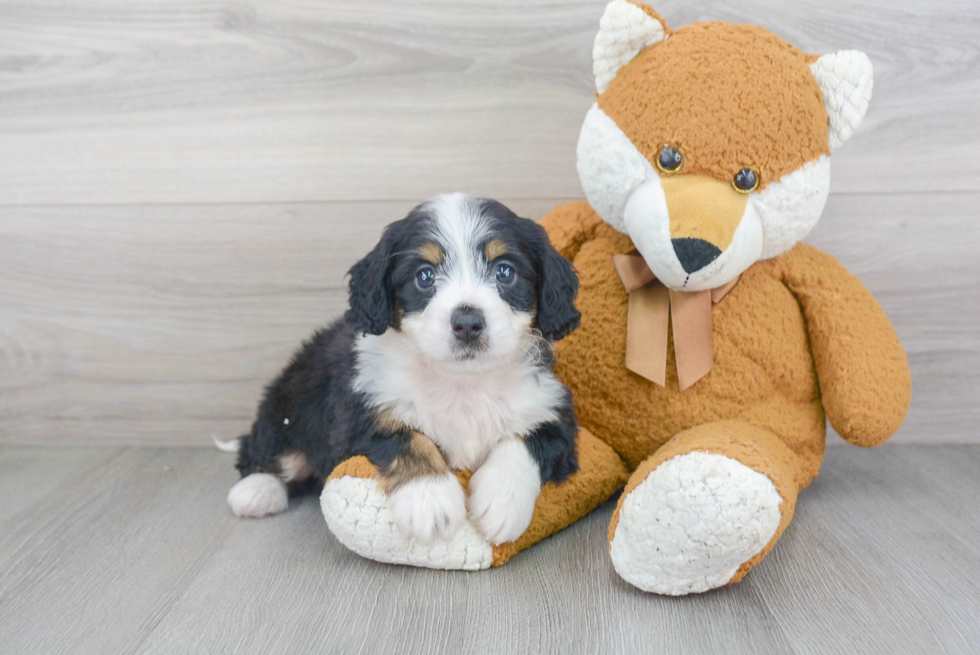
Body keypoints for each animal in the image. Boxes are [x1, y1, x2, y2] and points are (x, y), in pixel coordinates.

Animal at [222, 193, 580, 544]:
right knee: (267, 452)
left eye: (505, 272)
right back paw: (256, 491)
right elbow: (407, 438)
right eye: (424, 276)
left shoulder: (553, 412)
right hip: (290, 401)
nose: (467, 323)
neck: (462, 383)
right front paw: (430, 501)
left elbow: (526, 441)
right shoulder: (357, 415)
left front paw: (502, 501)